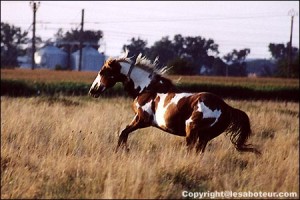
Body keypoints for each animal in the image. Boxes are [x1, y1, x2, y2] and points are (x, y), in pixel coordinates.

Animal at [89, 52, 260, 155]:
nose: (92, 90)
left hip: (192, 130)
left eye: (102, 72)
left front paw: (122, 151)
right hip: (204, 137)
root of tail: (226, 108)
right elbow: (123, 133)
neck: (147, 89)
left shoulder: (142, 120)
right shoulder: (138, 119)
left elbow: (123, 133)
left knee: (191, 150)